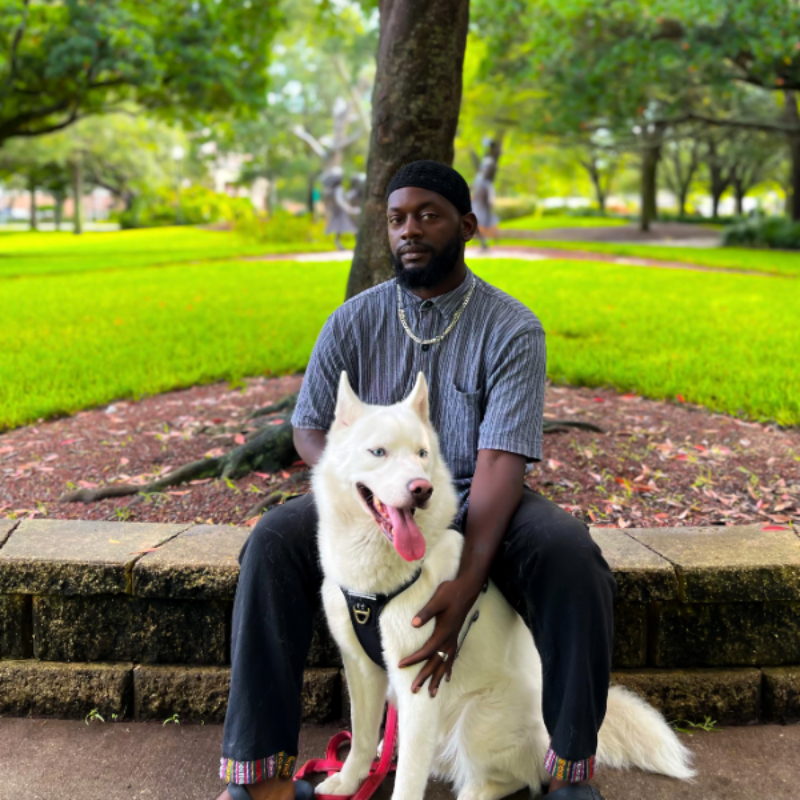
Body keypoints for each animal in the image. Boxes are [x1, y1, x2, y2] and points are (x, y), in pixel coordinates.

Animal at [311, 372, 694, 800]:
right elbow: (360, 737)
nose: (421, 489)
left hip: (478, 721)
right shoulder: (361, 667)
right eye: (378, 452)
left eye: (422, 454)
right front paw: (349, 780)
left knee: (516, 775)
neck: (377, 584)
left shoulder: (417, 685)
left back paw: (477, 792)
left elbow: (409, 780)